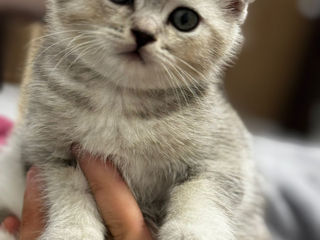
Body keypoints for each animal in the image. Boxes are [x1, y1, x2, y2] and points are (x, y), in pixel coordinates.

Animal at [0, 0, 270, 239]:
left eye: (185, 19)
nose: (143, 33)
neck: (119, 102)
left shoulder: (224, 156)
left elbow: (200, 192)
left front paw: (192, 231)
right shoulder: (46, 154)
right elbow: (68, 193)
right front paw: (72, 232)